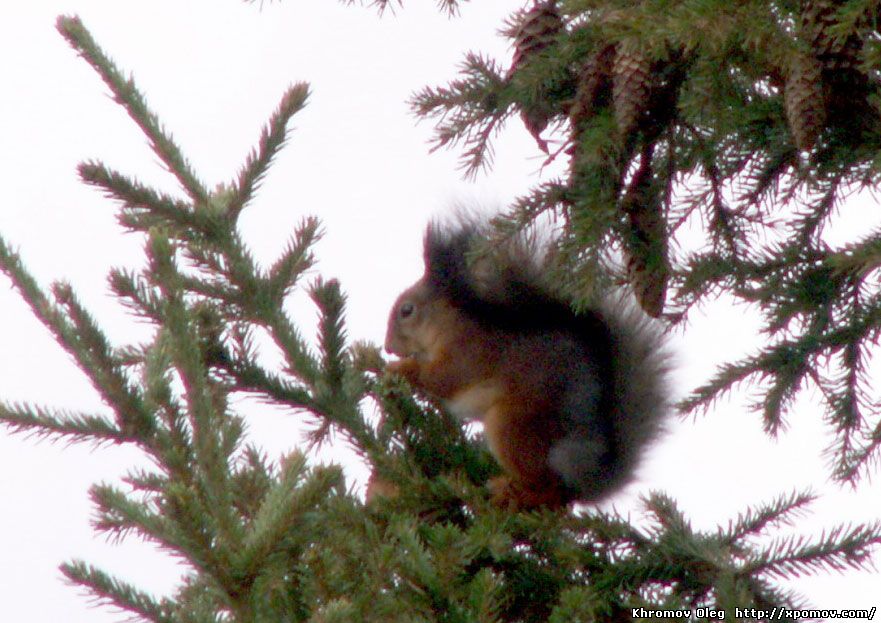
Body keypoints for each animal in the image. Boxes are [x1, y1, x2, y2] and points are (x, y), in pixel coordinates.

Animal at [384, 219, 668, 512]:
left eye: (407, 310)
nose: (387, 347)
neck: (445, 325)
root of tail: (581, 483)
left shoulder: (466, 352)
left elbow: (442, 379)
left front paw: (399, 368)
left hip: (513, 426)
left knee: (547, 488)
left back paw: (511, 493)